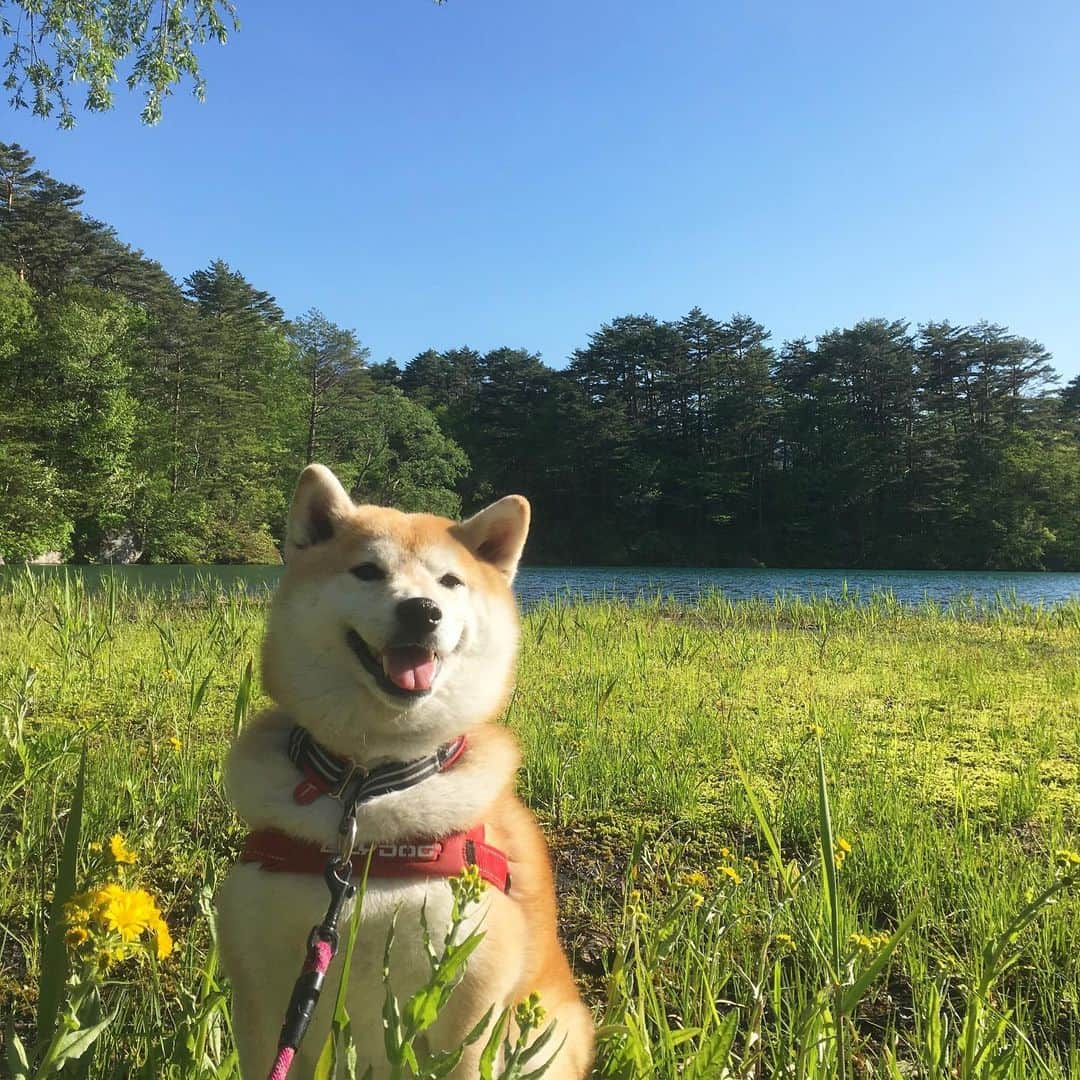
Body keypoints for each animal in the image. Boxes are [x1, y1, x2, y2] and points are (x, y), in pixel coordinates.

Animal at [216, 466, 596, 1080]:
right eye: (368, 570)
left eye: (450, 581)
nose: (422, 609)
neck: (368, 791)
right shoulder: (263, 994)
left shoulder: (471, 998)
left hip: (551, 1034)